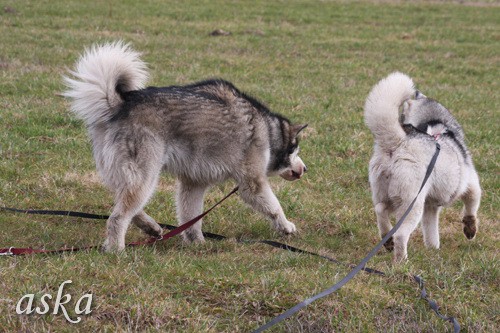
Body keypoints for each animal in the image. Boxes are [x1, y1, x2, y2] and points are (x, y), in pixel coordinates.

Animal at [64, 41, 306, 250]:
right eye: (295, 150)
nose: (305, 168)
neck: (268, 129)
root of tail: (122, 104)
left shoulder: (193, 183)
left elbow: (191, 216)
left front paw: (197, 242)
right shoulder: (252, 182)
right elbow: (274, 206)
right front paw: (285, 226)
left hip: (123, 172)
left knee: (123, 201)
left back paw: (150, 227)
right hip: (145, 174)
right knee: (118, 217)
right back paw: (116, 250)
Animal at [364, 72, 480, 262]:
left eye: (402, 115)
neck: (435, 125)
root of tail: (399, 142)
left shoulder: (430, 207)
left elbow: (431, 232)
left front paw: (433, 249)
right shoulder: (470, 184)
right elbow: (471, 207)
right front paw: (470, 229)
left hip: (388, 195)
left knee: (380, 209)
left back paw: (387, 240)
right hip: (411, 204)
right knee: (401, 234)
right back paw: (401, 261)